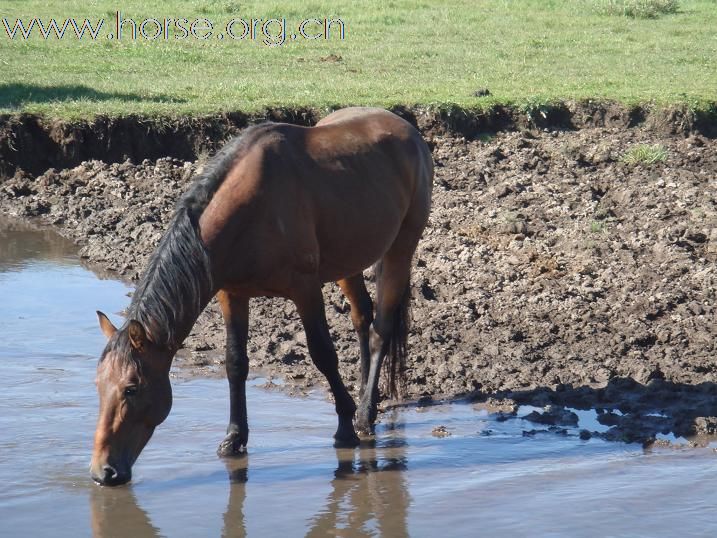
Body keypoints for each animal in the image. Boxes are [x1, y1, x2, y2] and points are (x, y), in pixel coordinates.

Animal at [92, 107, 434, 484]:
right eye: (98, 384)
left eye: (131, 388)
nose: (104, 472)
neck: (250, 206)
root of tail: (406, 128)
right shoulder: (232, 294)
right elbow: (235, 363)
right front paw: (233, 438)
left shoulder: (305, 289)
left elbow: (323, 355)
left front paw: (344, 427)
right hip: (349, 261)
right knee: (362, 317)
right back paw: (364, 403)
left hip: (402, 246)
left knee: (380, 330)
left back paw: (362, 415)